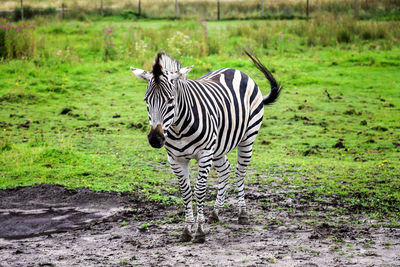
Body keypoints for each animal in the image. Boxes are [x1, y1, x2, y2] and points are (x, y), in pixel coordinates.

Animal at [130, 50, 280, 243]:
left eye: (171, 100)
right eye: (146, 100)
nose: (155, 139)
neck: (178, 129)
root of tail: (235, 70)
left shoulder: (205, 154)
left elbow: (200, 190)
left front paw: (200, 231)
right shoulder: (175, 159)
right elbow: (186, 192)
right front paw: (187, 230)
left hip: (248, 137)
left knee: (240, 172)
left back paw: (242, 213)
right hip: (220, 145)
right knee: (225, 170)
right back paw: (215, 212)